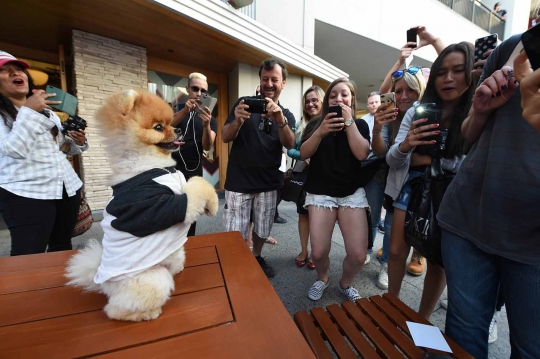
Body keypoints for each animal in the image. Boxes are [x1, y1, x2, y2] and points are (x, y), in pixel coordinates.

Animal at [66, 90, 218, 324]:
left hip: (175, 254)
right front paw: (213, 204)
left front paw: (210, 206)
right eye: (158, 127)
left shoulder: (180, 183)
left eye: (170, 123)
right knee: (115, 309)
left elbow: (194, 181)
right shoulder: (168, 206)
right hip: (152, 280)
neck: (151, 165)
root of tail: (101, 280)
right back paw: (146, 313)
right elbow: (198, 188)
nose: (179, 129)